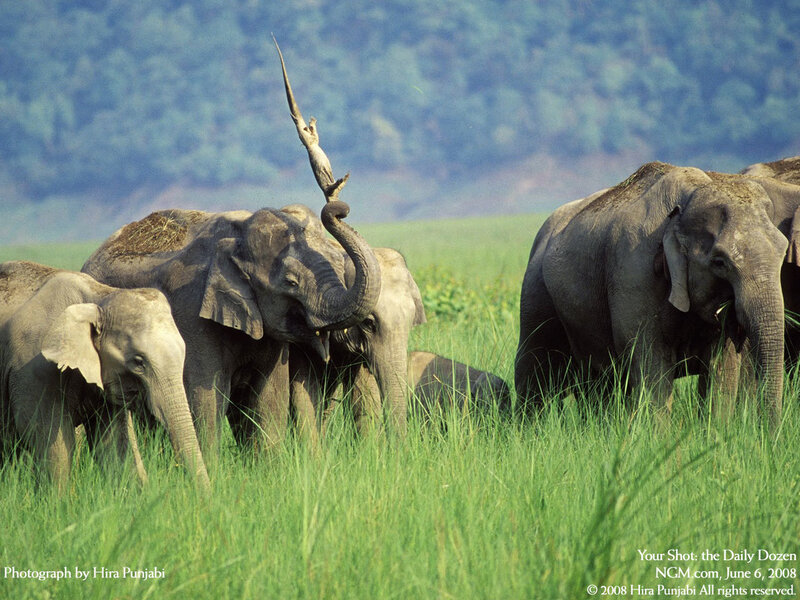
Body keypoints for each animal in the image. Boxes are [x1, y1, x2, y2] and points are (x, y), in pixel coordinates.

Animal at [0, 261, 209, 491]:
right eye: (138, 362)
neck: (99, 298)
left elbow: (114, 445)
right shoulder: (34, 370)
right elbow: (51, 442)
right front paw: (56, 499)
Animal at [82, 202, 380, 454]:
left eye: (338, 263)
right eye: (291, 282)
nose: (340, 208)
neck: (238, 236)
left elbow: (269, 399)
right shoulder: (192, 312)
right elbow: (206, 399)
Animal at [514, 161, 791, 429]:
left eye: (783, 252)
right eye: (720, 262)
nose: (770, 434)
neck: (688, 198)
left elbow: (721, 370)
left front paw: (715, 435)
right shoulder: (633, 271)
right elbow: (651, 364)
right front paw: (657, 439)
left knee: (597, 384)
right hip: (536, 291)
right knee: (535, 368)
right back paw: (526, 432)